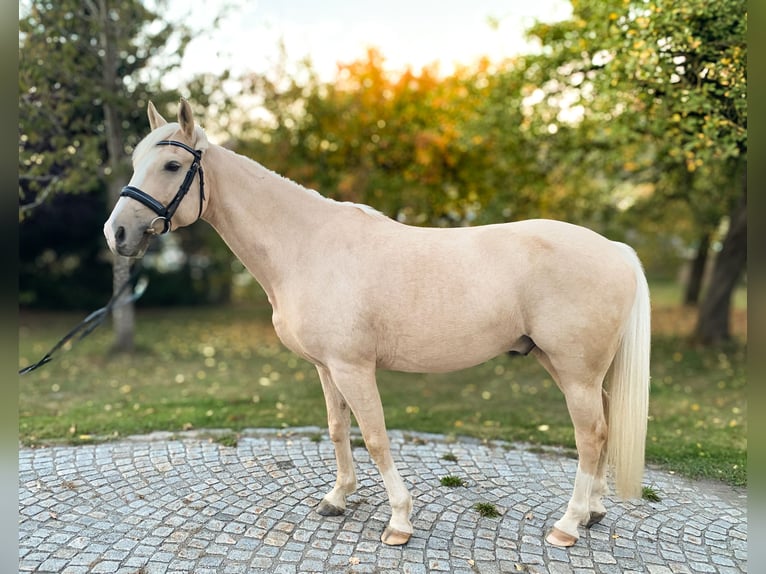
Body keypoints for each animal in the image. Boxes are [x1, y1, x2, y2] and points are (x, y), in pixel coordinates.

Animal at [104, 98, 650, 548]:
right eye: (136, 162)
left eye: (173, 165)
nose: (117, 233)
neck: (307, 245)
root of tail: (616, 249)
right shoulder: (327, 368)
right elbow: (337, 428)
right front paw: (338, 498)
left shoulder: (354, 367)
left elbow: (375, 435)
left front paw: (399, 520)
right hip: (570, 369)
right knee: (602, 428)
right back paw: (594, 512)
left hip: (575, 373)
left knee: (590, 436)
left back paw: (568, 525)